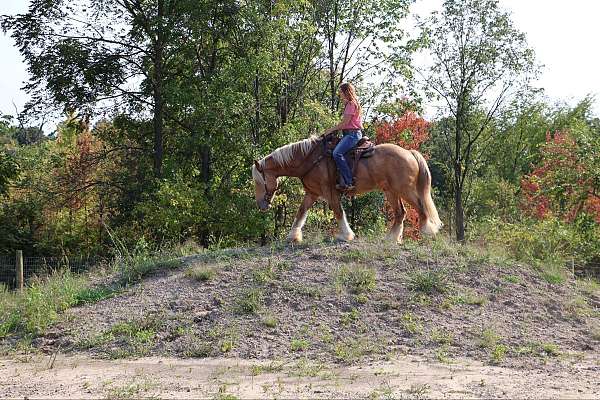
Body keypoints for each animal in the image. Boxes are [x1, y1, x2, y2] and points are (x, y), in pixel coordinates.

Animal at [251, 134, 442, 242]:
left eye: (258, 182)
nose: (261, 204)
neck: (310, 159)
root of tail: (409, 152)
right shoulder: (312, 193)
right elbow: (301, 212)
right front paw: (293, 236)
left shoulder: (329, 192)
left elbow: (338, 212)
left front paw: (346, 235)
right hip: (391, 191)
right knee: (400, 213)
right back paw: (392, 238)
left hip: (405, 189)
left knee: (421, 207)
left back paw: (427, 231)